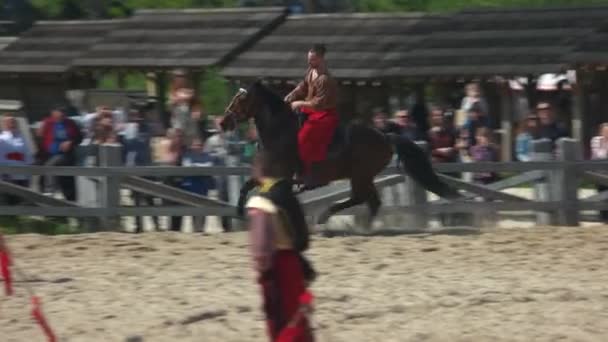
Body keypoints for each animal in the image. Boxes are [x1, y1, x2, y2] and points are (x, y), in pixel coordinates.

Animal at [220, 81, 460, 227]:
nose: (223, 122)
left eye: (241, 99)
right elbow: (245, 187)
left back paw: (331, 217)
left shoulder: (282, 176)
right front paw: (241, 214)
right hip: (362, 176)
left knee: (363, 199)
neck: (279, 131)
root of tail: (384, 136)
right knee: (370, 201)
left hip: (360, 175)